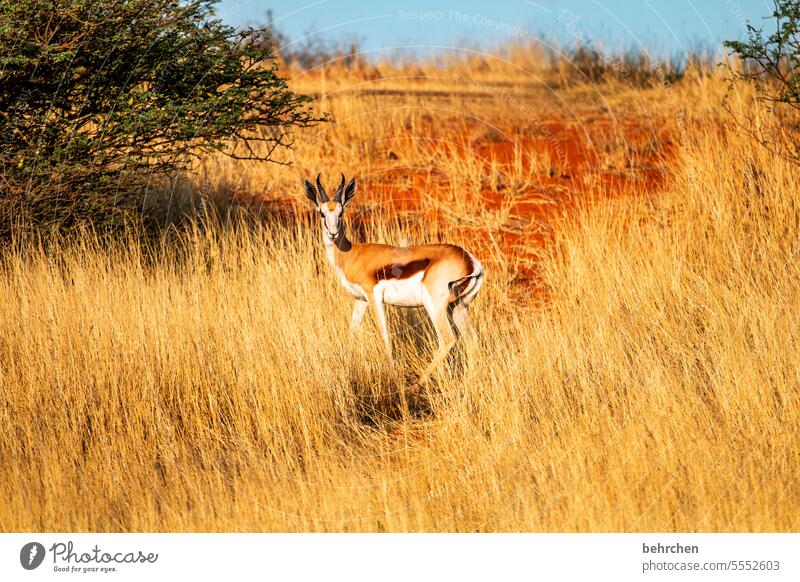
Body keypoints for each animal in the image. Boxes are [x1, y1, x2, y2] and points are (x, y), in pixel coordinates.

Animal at [304, 173, 482, 388]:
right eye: (322, 213)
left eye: (341, 212)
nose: (333, 233)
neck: (351, 254)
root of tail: (471, 261)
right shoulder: (360, 300)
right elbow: (352, 332)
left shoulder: (373, 296)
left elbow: (384, 335)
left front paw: (393, 374)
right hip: (459, 307)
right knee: (472, 340)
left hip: (435, 306)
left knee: (448, 339)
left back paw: (416, 384)